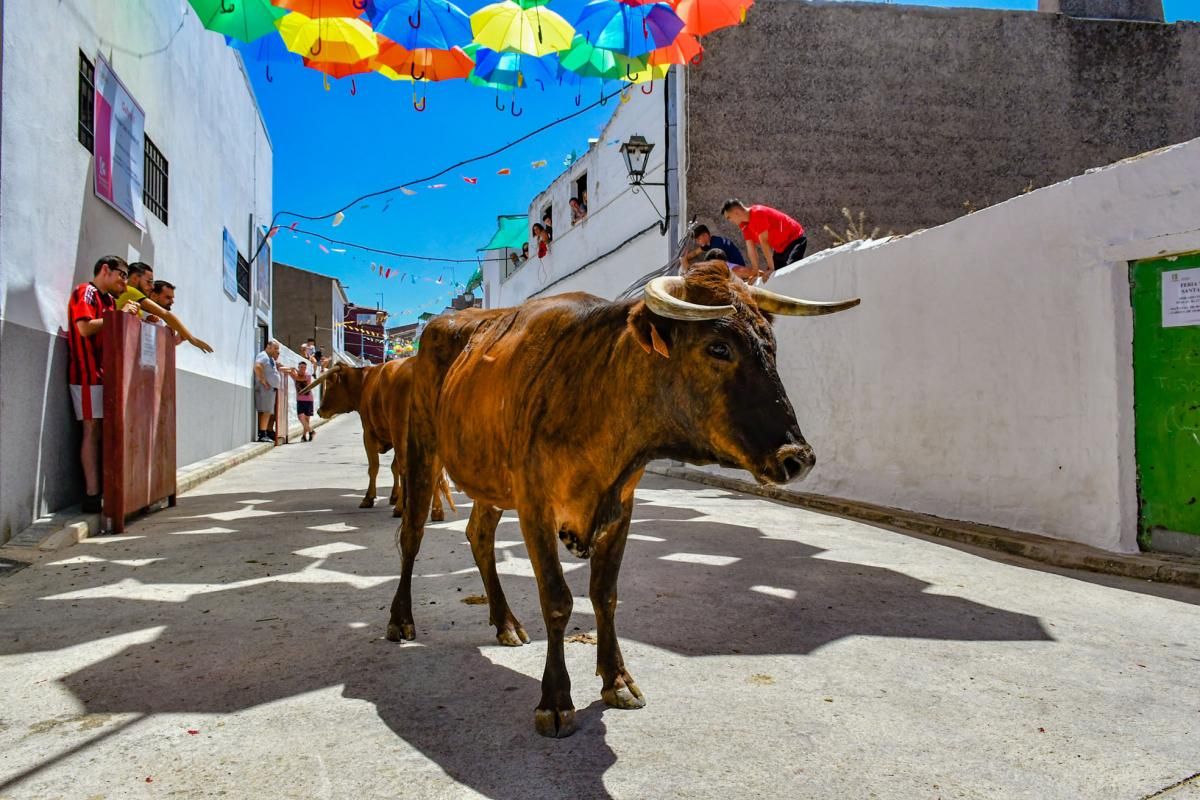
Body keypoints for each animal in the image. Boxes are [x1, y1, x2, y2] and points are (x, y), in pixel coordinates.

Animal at [388, 262, 859, 738]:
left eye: (771, 347)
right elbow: (557, 599)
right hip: (421, 445)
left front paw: (616, 680)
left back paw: (505, 623)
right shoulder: (535, 505)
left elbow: (605, 594)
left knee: (479, 535)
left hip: (490, 477)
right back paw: (400, 620)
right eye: (719, 347)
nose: (798, 458)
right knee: (412, 534)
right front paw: (555, 700)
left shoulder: (621, 507)